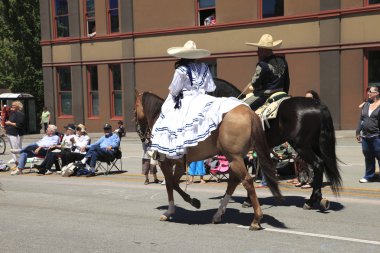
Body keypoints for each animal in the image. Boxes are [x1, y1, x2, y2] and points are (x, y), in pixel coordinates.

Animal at [134, 91, 282, 231]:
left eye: (135, 110)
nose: (141, 135)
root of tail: (249, 113)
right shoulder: (180, 164)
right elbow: (174, 183)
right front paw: (191, 202)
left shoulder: (165, 163)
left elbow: (170, 184)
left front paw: (173, 209)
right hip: (235, 158)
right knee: (233, 182)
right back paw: (218, 214)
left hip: (234, 158)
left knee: (247, 181)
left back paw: (256, 220)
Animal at [212, 79, 342, 210]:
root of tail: (318, 105)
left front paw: (246, 200)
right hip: (316, 145)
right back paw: (319, 199)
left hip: (301, 146)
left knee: (318, 164)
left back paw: (311, 201)